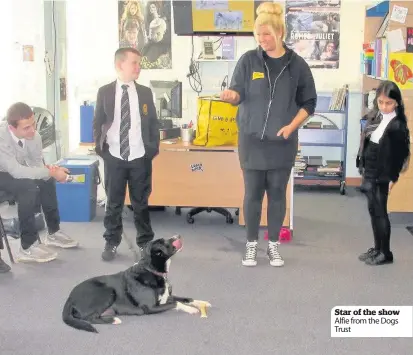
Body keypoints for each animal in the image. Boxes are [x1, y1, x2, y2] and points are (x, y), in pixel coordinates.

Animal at [62, 236, 209, 334]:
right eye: (163, 242)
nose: (178, 236)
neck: (151, 270)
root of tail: (69, 298)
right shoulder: (150, 307)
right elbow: (176, 303)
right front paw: (191, 309)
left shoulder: (166, 297)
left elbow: (186, 298)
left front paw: (201, 302)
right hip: (107, 292)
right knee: (89, 318)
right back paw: (113, 320)